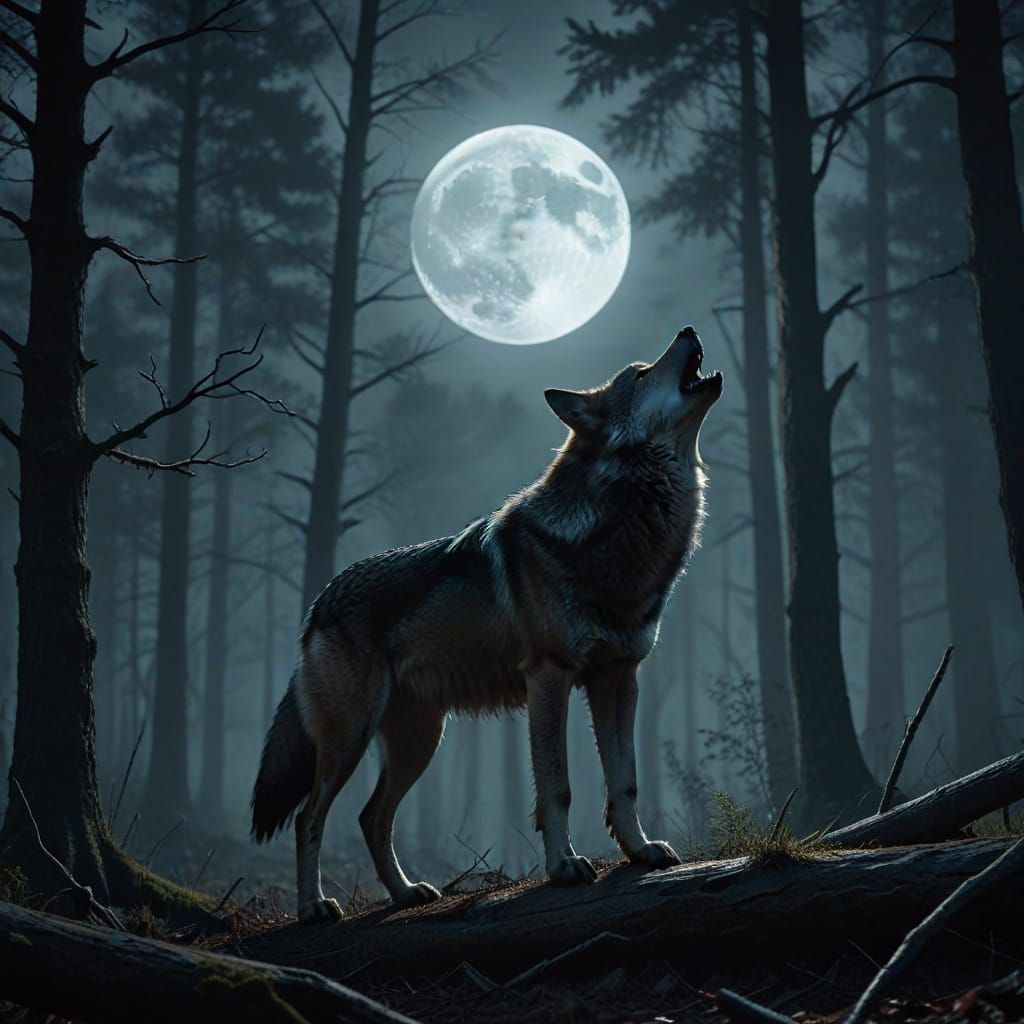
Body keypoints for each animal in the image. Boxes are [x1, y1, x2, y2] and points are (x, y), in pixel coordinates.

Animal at [251, 325, 723, 922]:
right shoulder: (549, 678)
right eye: (640, 373)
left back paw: (406, 894)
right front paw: (564, 866)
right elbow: (558, 787)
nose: (688, 330)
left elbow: (625, 782)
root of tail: (317, 605)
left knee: (370, 817)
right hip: (350, 741)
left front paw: (640, 852)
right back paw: (315, 907)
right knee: (308, 819)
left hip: (420, 741)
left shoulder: (619, 679)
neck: (617, 535)